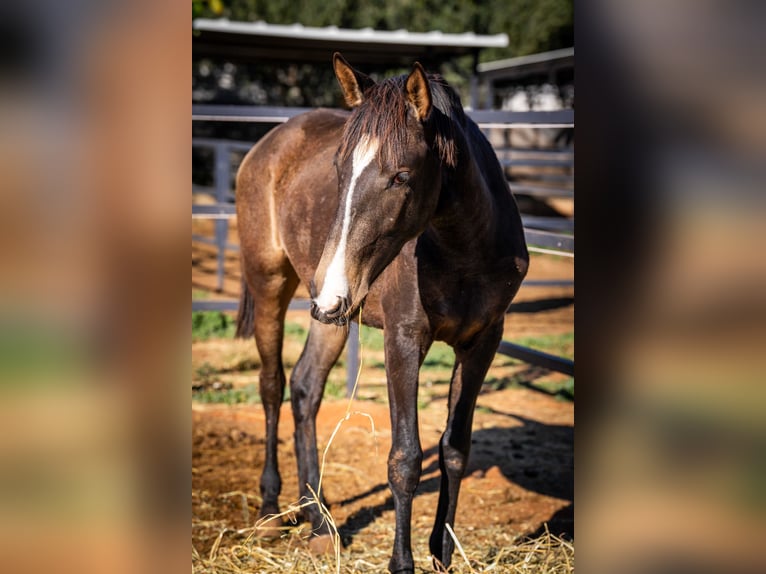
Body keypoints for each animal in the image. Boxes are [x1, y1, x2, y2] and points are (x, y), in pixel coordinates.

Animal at [237, 51, 532, 572]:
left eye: (401, 176)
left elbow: (454, 449)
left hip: (331, 316)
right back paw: (272, 510)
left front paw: (442, 554)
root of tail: (268, 142)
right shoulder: (404, 339)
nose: (336, 284)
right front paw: (403, 562)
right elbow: (405, 458)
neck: (464, 252)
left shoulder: (483, 343)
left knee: (305, 389)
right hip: (273, 284)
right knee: (272, 386)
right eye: (338, 169)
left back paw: (318, 523)